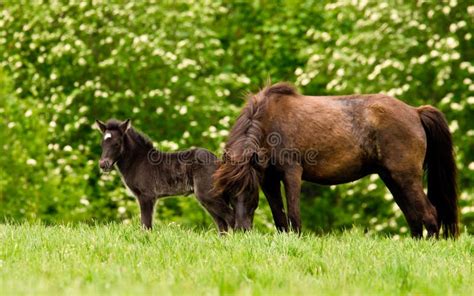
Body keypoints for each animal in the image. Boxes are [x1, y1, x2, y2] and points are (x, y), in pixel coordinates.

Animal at [215, 82, 460, 238]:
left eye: (249, 190)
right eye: (228, 193)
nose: (241, 231)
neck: (270, 121)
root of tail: (415, 111)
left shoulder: (291, 173)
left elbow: (293, 215)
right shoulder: (268, 180)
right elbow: (279, 218)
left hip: (406, 177)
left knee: (429, 214)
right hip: (393, 179)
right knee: (414, 217)